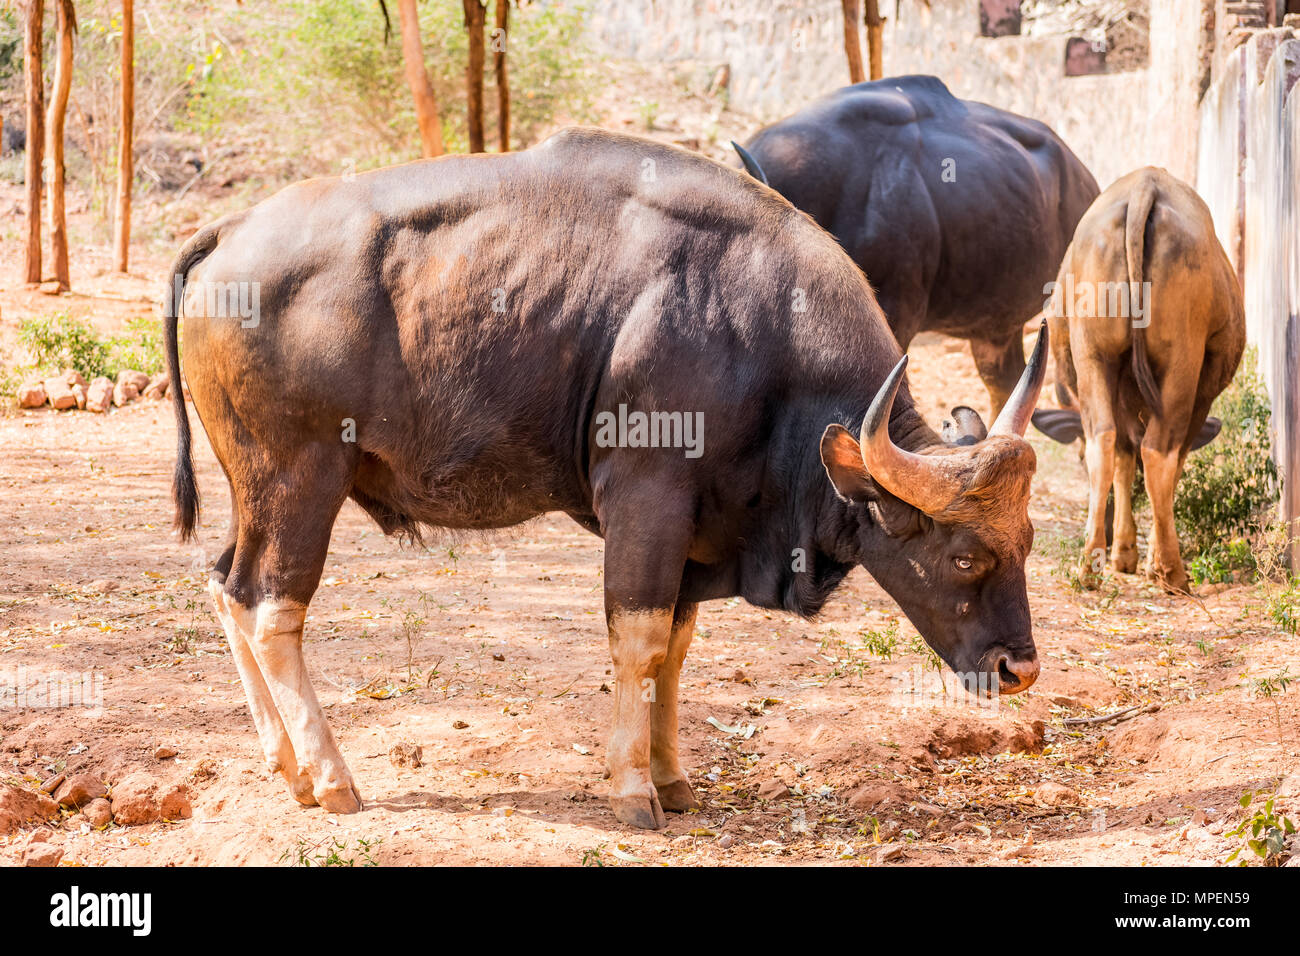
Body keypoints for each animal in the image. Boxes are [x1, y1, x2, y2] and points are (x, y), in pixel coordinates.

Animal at [167, 128, 1050, 832]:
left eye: (1029, 542)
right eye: (964, 556)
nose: (1021, 670)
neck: (758, 331)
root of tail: (230, 232)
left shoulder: (696, 533)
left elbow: (677, 649)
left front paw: (673, 775)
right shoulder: (646, 502)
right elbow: (640, 640)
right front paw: (633, 788)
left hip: (257, 491)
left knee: (227, 586)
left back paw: (287, 765)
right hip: (300, 481)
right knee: (273, 610)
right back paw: (331, 777)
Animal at [1029, 167, 1242, 595]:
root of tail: (1145, 188)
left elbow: (1124, 459)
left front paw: (1123, 551)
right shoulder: (1202, 396)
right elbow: (1169, 464)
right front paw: (1144, 556)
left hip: (1094, 355)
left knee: (1105, 442)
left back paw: (1089, 565)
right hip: (1182, 363)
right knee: (1159, 451)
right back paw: (1171, 571)